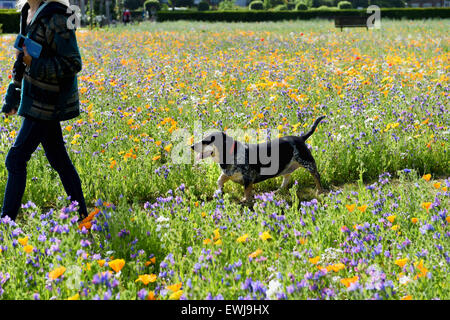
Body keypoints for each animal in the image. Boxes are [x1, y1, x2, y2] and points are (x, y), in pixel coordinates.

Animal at [192, 115, 326, 200]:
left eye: (207, 140)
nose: (192, 146)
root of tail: (301, 137)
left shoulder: (248, 178)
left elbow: (247, 193)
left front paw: (246, 201)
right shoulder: (227, 174)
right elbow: (219, 181)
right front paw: (219, 191)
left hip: (308, 163)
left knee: (317, 176)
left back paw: (320, 191)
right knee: (286, 179)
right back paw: (278, 191)